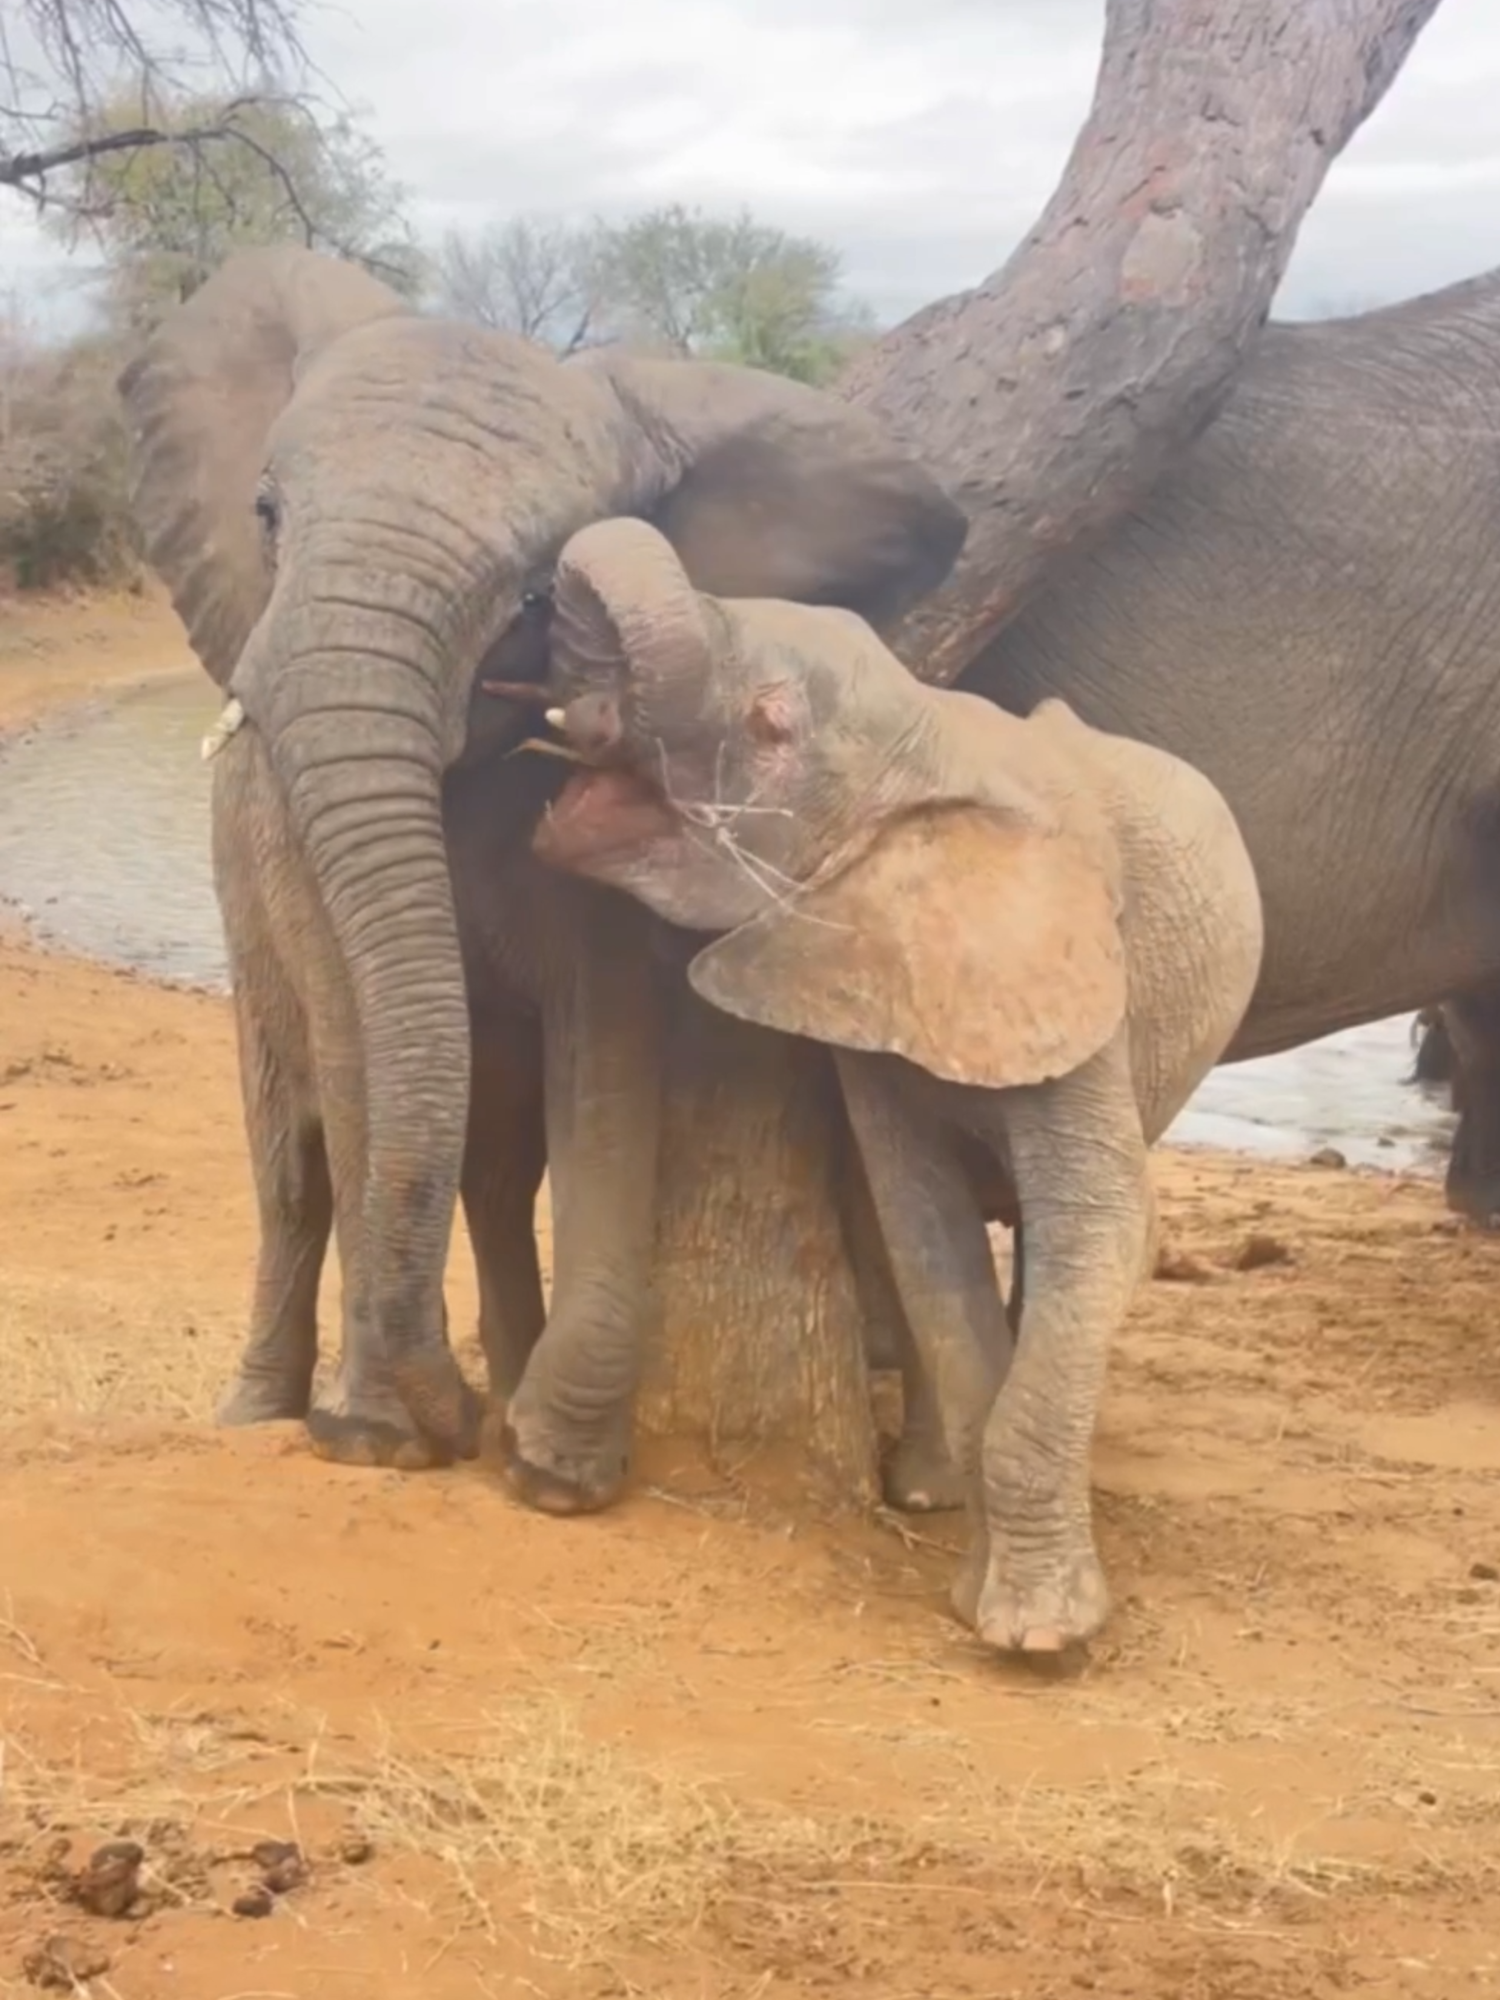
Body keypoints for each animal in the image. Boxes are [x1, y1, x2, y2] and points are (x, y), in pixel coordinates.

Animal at [114, 242, 964, 1496]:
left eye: (531, 597)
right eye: (265, 514)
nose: (457, 1417)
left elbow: (602, 1040)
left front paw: (553, 1464)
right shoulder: (277, 825)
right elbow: (354, 1050)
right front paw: (376, 1435)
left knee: (497, 1162)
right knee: (294, 1163)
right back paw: (259, 1410)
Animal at [528, 516, 1272, 1656]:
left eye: (771, 723)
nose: (582, 708)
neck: (927, 738)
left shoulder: (1074, 969)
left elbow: (1102, 1220)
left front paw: (1037, 1640)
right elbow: (923, 1225)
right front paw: (979, 1581)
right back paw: (925, 1489)